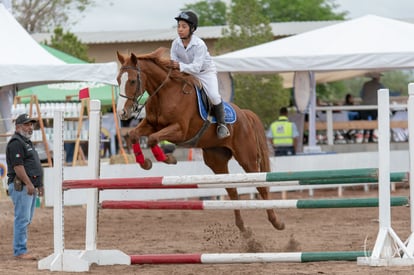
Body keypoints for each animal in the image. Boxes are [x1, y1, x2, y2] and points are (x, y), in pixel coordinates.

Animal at [116, 48, 284, 233]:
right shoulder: (151, 125)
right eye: (118, 80)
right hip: (216, 160)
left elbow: (153, 139)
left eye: (132, 81)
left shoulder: (179, 130)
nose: (122, 113)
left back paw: (277, 222)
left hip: (247, 158)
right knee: (232, 189)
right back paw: (242, 228)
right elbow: (134, 135)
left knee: (261, 186)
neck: (164, 93)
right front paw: (145, 163)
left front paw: (168, 159)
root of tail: (245, 114)